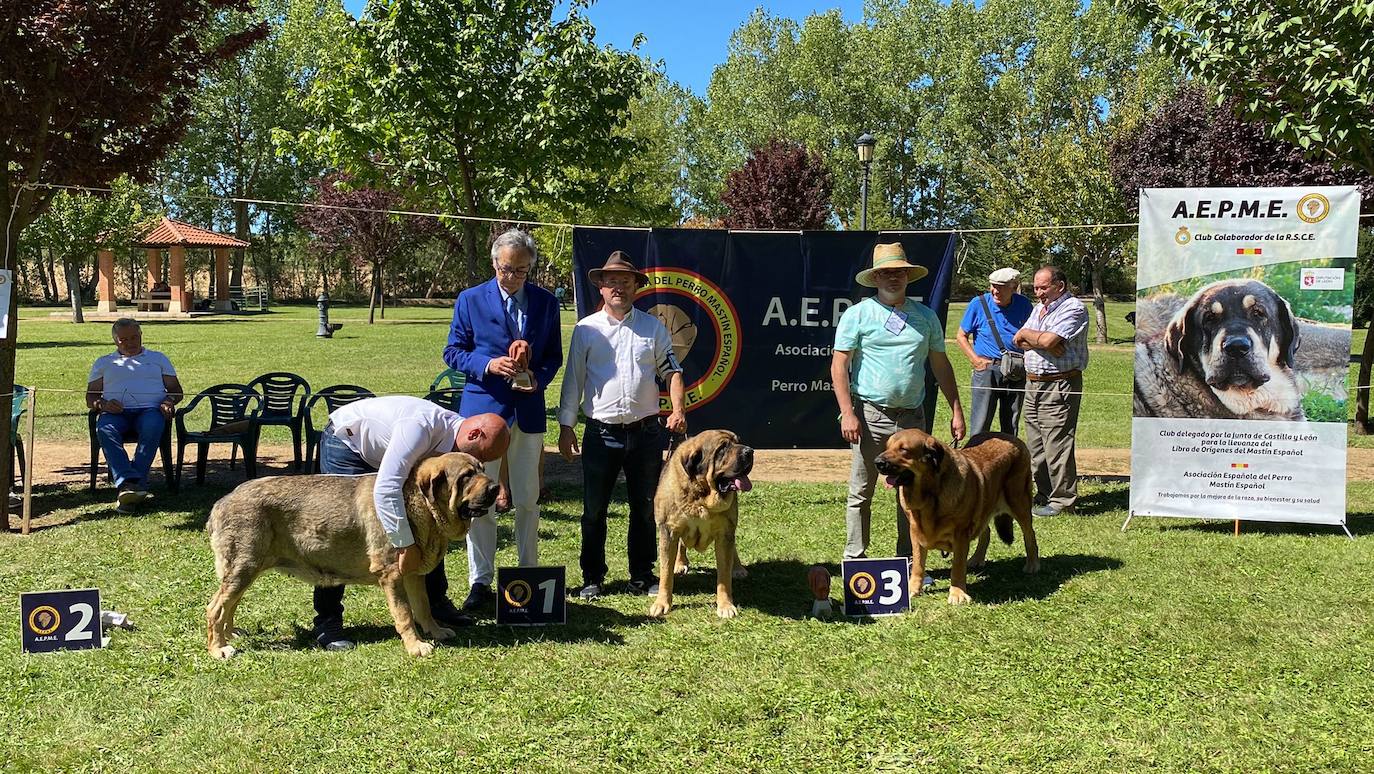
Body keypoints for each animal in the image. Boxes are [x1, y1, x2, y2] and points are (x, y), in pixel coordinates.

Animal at [206, 453, 497, 659]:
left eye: (482, 469)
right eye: (466, 476)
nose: (496, 488)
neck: (417, 505)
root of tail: (221, 502)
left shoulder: (413, 574)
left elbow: (423, 607)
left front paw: (435, 631)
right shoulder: (391, 575)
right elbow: (404, 613)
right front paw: (415, 646)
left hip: (245, 570)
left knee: (229, 604)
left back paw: (230, 633)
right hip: (243, 566)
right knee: (215, 608)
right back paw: (218, 648)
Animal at [651, 426, 758, 621]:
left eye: (738, 441)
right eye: (722, 448)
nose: (750, 451)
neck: (701, 496)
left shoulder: (725, 533)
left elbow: (724, 576)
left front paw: (725, 606)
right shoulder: (668, 531)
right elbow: (665, 572)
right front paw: (662, 604)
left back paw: (738, 568)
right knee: (681, 545)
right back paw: (680, 563)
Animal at [873, 428, 1033, 604]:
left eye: (904, 450)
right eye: (887, 447)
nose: (877, 462)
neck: (929, 496)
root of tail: (1012, 438)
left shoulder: (960, 535)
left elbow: (957, 566)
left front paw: (957, 594)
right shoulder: (915, 532)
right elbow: (918, 565)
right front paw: (912, 590)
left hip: (1019, 502)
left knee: (1030, 536)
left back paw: (1032, 565)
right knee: (986, 532)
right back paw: (976, 559)